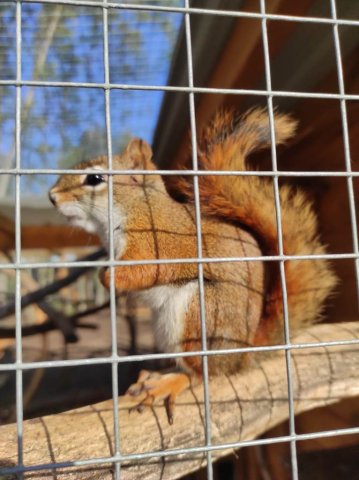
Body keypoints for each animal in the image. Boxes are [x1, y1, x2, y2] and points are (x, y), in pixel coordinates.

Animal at [49, 109, 338, 424]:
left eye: (95, 178)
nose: (52, 197)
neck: (137, 207)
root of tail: (241, 355)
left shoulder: (155, 244)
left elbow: (146, 271)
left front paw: (107, 277)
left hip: (198, 313)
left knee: (202, 374)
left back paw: (169, 382)